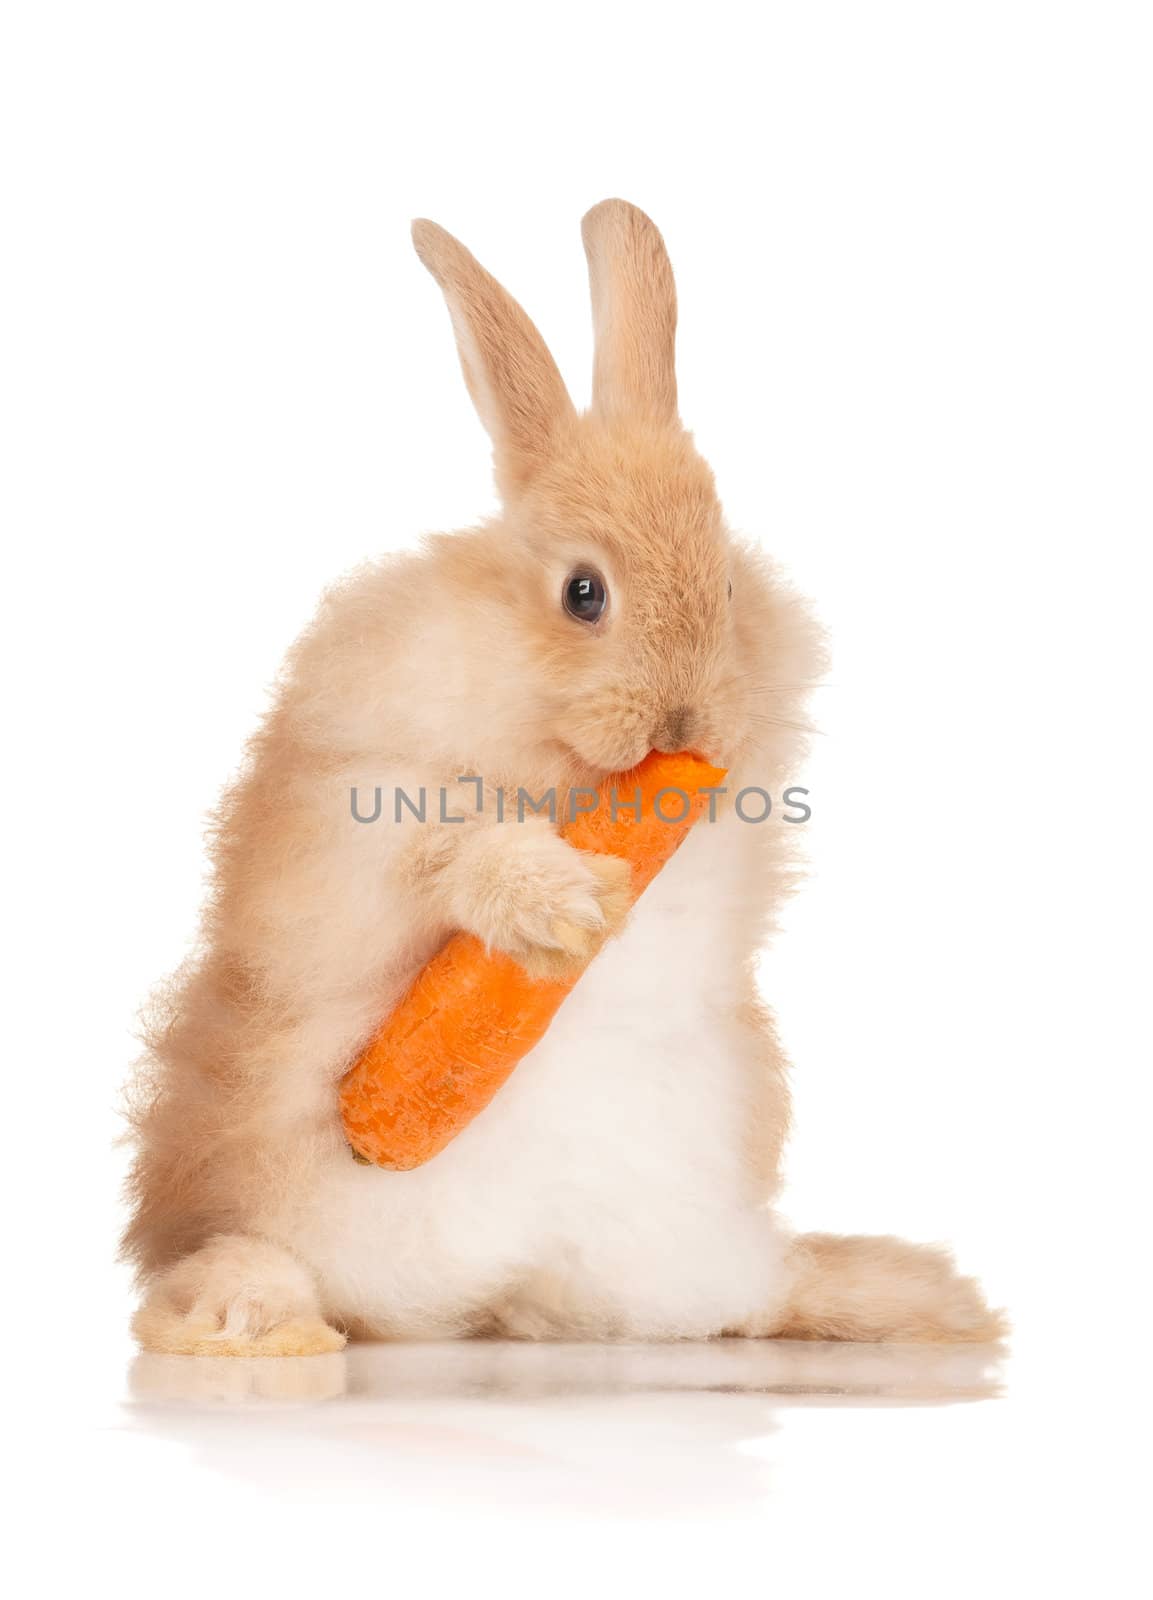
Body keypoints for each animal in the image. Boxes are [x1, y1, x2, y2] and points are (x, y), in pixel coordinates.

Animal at [126, 196, 1004, 1350]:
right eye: (584, 593)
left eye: (728, 589)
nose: (686, 719)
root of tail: (485, 1300)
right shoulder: (341, 814)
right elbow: (438, 841)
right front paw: (560, 907)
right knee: (257, 1258)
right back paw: (246, 1319)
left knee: (742, 1299)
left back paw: (909, 1301)